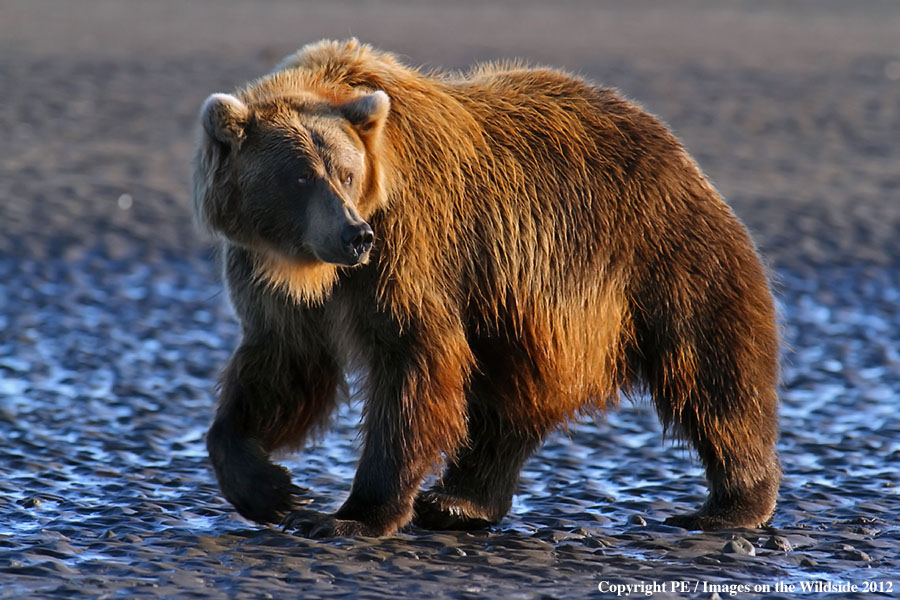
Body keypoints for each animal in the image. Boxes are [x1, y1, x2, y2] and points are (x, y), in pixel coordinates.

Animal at [192, 39, 780, 536]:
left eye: (346, 172)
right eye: (299, 177)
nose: (354, 235)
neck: (306, 268)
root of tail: (668, 140)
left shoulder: (406, 248)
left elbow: (413, 362)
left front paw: (351, 516)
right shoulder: (275, 287)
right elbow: (282, 369)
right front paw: (272, 489)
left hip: (654, 252)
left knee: (712, 368)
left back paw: (731, 503)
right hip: (520, 303)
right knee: (510, 399)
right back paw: (460, 502)